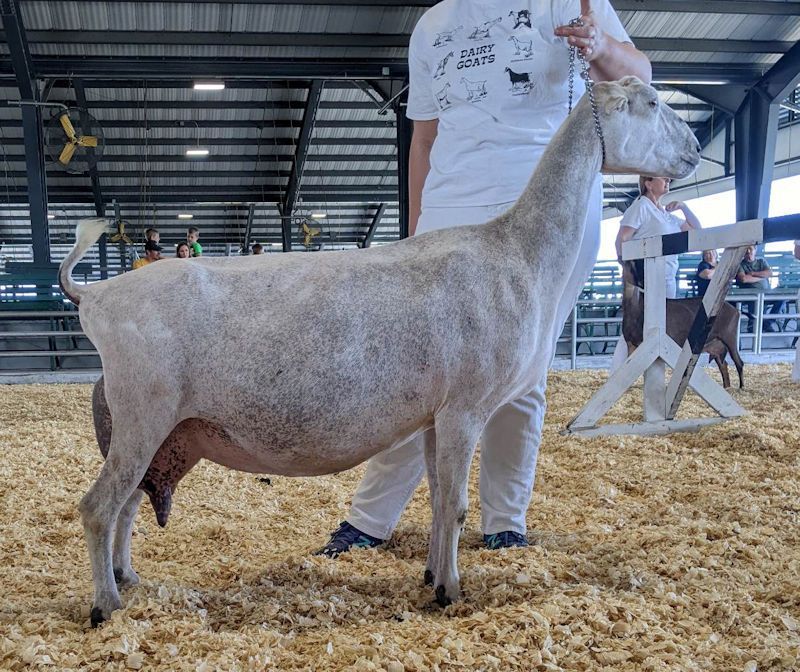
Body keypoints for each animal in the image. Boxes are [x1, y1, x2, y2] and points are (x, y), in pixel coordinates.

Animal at [58, 77, 700, 625]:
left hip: (154, 427)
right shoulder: (466, 405)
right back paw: (104, 606)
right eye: (650, 102)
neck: (518, 251)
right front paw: (450, 592)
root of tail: (96, 295)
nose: (696, 149)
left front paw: (431, 576)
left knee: (127, 505)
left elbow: (439, 501)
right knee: (98, 507)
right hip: (143, 411)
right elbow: (457, 505)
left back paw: (128, 579)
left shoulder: (437, 416)